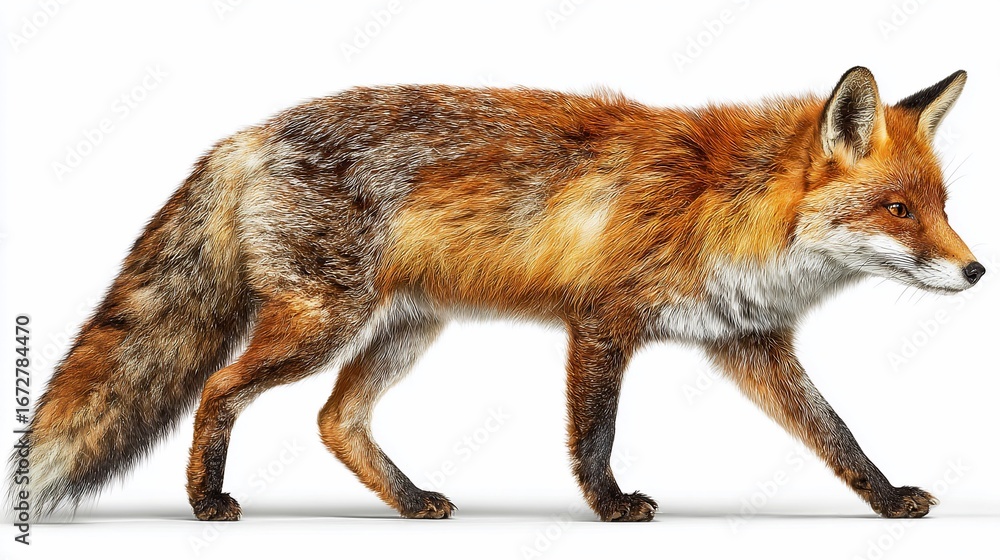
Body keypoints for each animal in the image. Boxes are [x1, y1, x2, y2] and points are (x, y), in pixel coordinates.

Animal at [11, 66, 984, 523]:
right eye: (898, 210)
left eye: (943, 207)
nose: (978, 272)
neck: (726, 207)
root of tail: (244, 136)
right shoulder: (601, 324)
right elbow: (593, 435)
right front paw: (611, 507)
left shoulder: (748, 343)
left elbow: (837, 435)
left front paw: (887, 497)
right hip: (322, 324)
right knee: (219, 388)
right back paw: (207, 501)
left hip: (404, 331)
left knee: (336, 421)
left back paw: (409, 504)